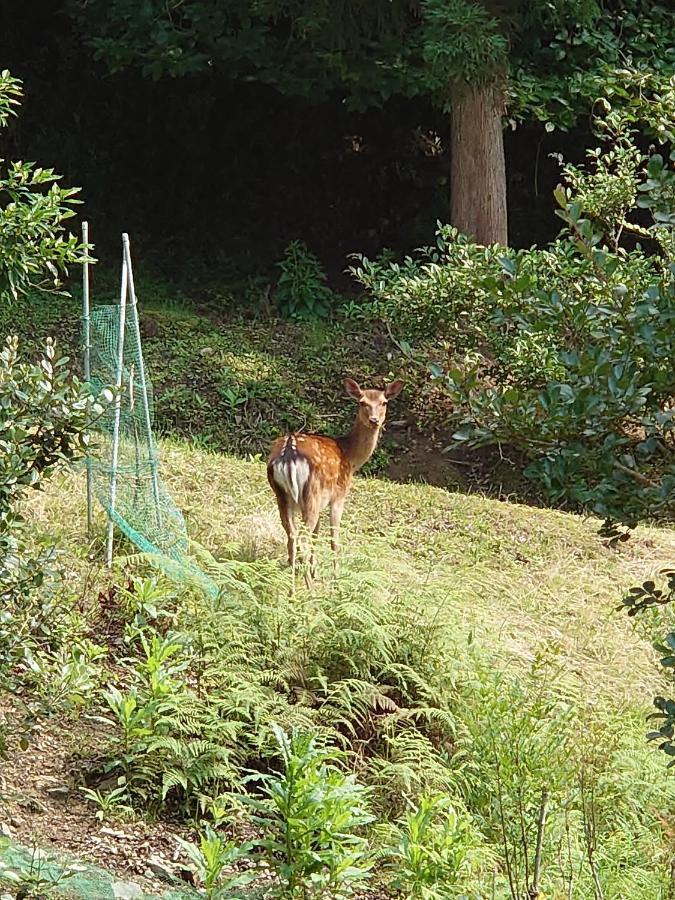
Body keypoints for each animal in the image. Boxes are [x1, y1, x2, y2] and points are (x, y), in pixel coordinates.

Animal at [266, 376, 404, 588]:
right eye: (362, 402)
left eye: (384, 402)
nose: (374, 420)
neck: (350, 457)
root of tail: (287, 455)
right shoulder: (339, 495)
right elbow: (334, 538)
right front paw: (336, 577)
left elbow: (317, 533)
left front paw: (315, 571)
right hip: (311, 494)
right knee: (302, 538)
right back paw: (310, 589)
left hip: (282, 496)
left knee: (292, 536)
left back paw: (293, 589)